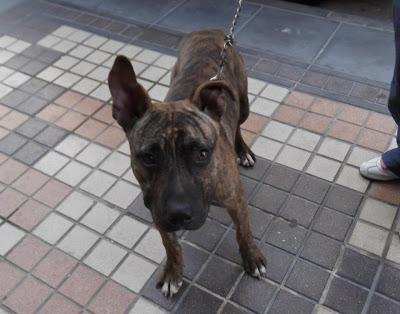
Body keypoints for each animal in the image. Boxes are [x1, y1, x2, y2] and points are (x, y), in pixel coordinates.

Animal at [108, 29, 268, 296]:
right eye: (149, 157)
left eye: (202, 154)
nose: (179, 214)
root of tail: (210, 30)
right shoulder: (156, 207)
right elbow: (170, 244)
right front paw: (174, 272)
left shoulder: (235, 199)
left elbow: (243, 231)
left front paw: (252, 258)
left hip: (243, 102)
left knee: (238, 124)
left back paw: (243, 151)